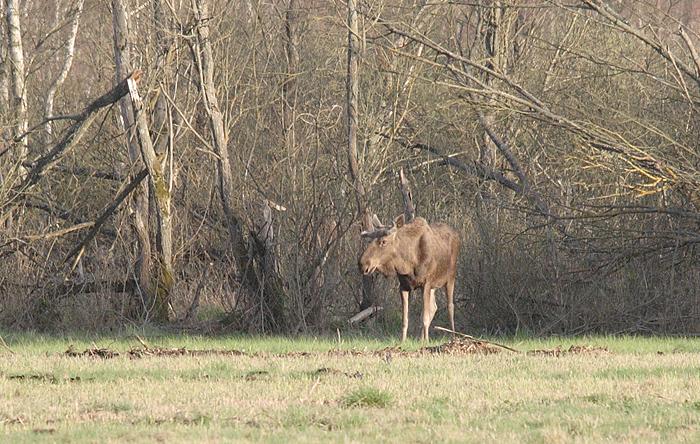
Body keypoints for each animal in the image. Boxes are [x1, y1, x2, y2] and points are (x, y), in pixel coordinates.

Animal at [358, 213, 462, 342]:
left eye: (383, 241)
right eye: (370, 240)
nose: (362, 264)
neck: (408, 263)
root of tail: (457, 234)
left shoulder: (426, 284)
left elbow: (424, 317)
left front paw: (427, 341)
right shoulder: (403, 286)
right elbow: (405, 319)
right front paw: (403, 341)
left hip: (450, 277)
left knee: (450, 306)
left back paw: (453, 336)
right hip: (434, 286)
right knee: (434, 307)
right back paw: (421, 338)